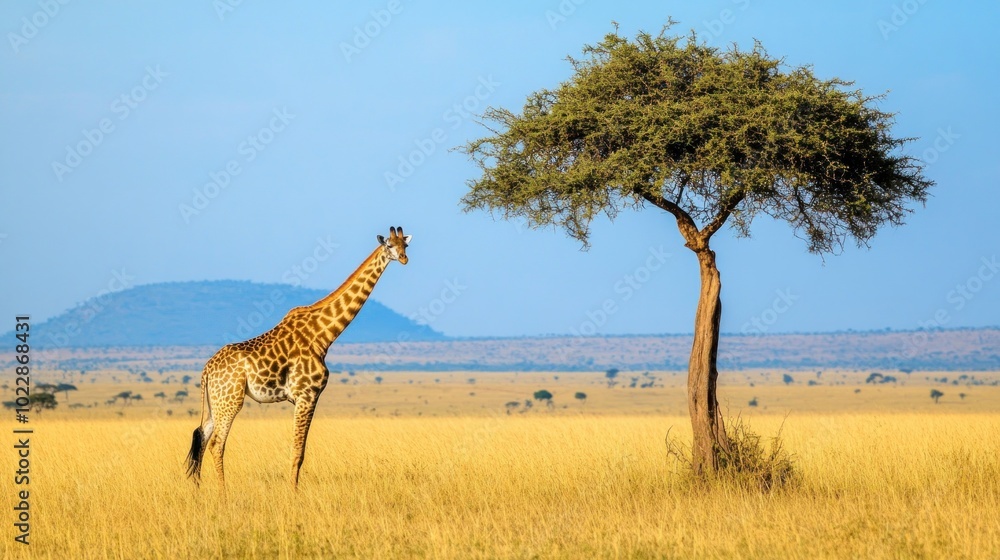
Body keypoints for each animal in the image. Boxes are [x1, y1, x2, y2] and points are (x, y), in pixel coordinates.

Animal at [185, 226, 411, 492]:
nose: (404, 259)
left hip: (215, 402)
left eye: (405, 245)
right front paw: (293, 493)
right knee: (216, 444)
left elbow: (298, 450)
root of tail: (207, 370)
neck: (323, 335)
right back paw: (223, 493)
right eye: (389, 245)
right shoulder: (307, 394)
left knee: (202, 437)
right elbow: (298, 452)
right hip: (230, 400)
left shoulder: (304, 397)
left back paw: (198, 490)